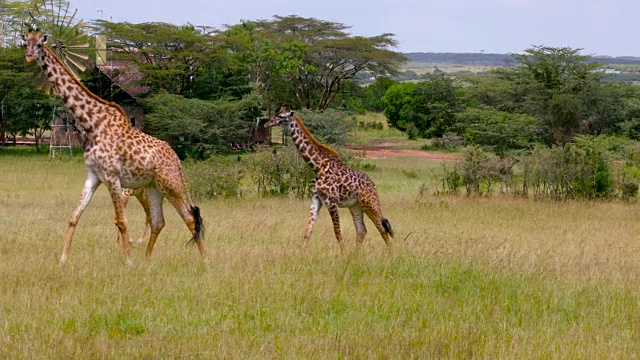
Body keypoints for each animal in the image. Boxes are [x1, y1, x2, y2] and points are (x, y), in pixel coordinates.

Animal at [23, 30, 204, 264]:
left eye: (39, 45)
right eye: (25, 43)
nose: (28, 56)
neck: (92, 124)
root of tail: (177, 160)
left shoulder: (113, 178)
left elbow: (121, 220)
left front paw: (128, 262)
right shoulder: (93, 176)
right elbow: (74, 216)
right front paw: (62, 260)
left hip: (170, 184)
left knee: (190, 217)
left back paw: (205, 259)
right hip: (154, 187)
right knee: (158, 221)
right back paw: (147, 259)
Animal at [262, 107, 392, 250]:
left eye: (280, 116)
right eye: (276, 114)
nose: (266, 124)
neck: (317, 166)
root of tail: (373, 185)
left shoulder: (331, 201)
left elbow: (337, 233)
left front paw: (342, 253)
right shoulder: (316, 199)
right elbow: (308, 230)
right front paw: (302, 251)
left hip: (369, 203)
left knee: (383, 229)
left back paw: (390, 254)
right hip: (355, 206)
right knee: (362, 230)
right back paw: (356, 254)